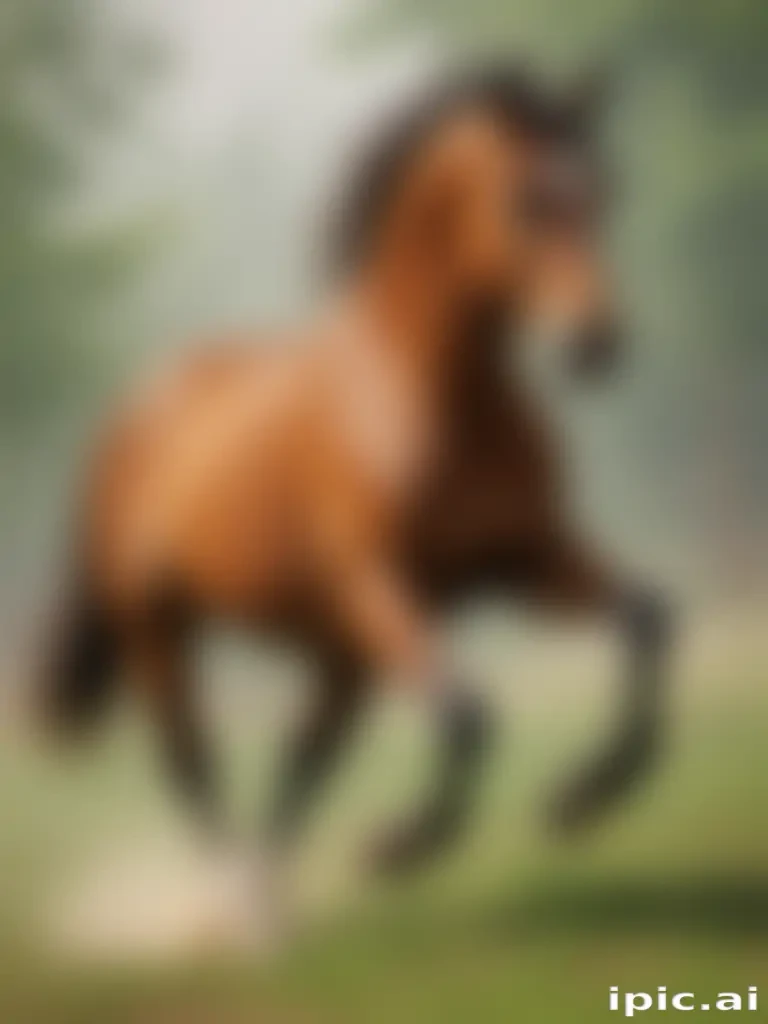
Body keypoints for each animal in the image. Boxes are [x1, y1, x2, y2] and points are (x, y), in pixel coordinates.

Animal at [40, 65, 672, 878]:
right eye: (527, 200)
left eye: (604, 190)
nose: (597, 342)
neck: (427, 401)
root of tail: (133, 411)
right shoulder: (377, 583)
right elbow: (468, 715)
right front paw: (397, 846)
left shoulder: (525, 559)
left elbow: (649, 620)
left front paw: (580, 798)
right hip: (159, 629)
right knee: (196, 766)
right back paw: (248, 897)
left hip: (338, 653)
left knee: (300, 763)